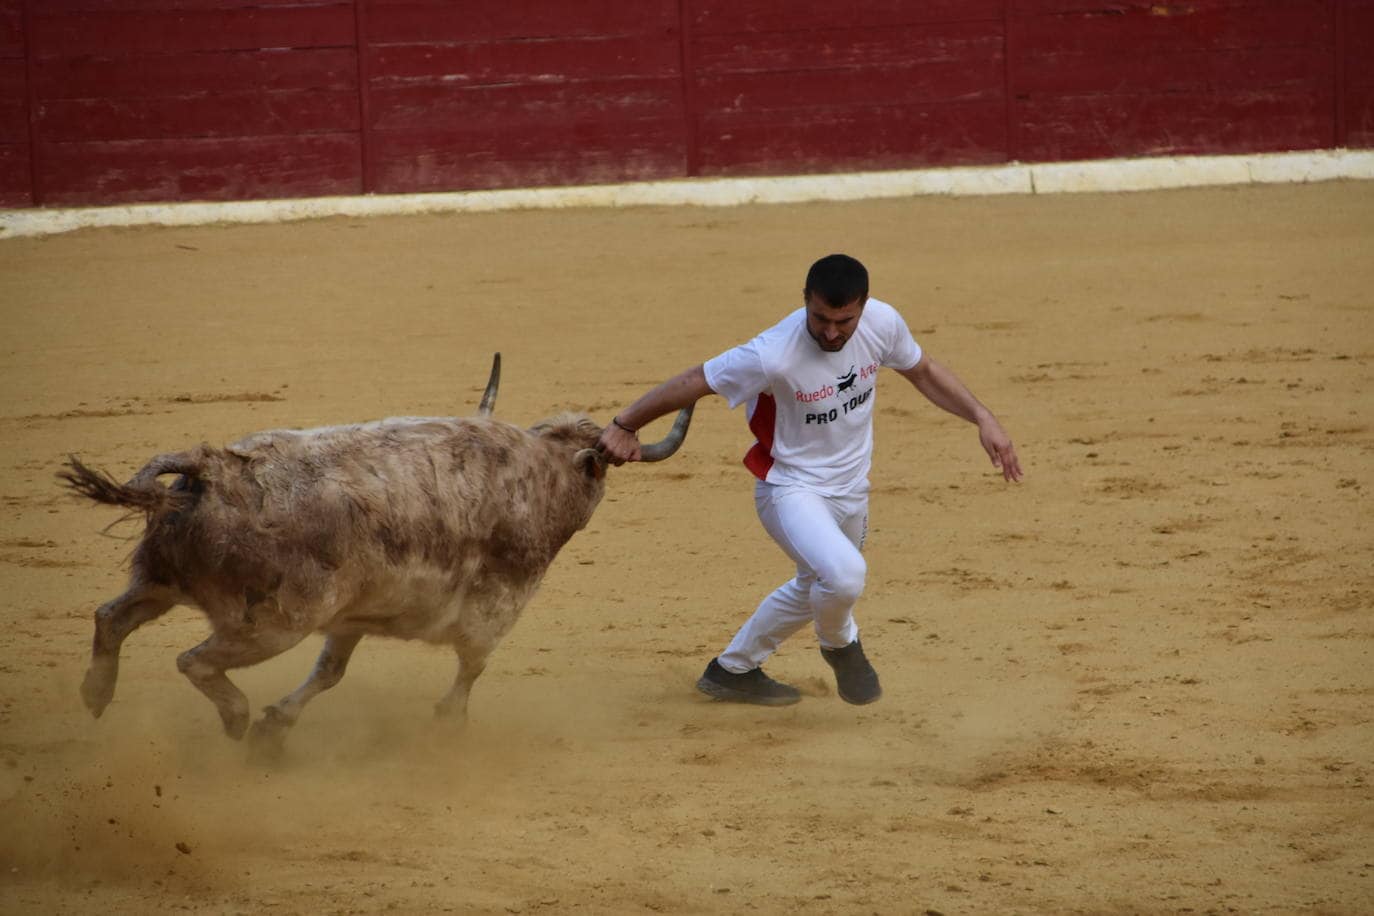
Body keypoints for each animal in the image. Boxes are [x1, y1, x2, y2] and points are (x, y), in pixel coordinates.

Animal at [59, 354, 692, 758]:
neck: (542, 470)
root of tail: (211, 467)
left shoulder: (354, 618)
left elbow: (331, 673)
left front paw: (278, 725)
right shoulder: (495, 608)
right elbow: (472, 666)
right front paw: (449, 722)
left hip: (162, 581)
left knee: (111, 617)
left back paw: (95, 694)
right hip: (269, 623)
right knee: (192, 660)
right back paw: (234, 717)